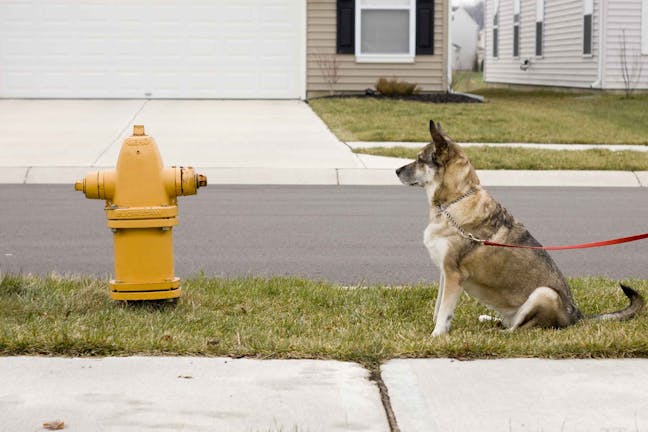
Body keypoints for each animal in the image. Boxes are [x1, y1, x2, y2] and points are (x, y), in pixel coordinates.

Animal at [394, 120, 644, 336]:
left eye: (419, 159)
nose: (396, 171)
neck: (454, 201)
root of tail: (577, 316)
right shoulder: (445, 274)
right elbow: (439, 309)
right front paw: (438, 330)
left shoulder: (454, 275)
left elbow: (444, 311)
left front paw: (436, 336)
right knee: (510, 323)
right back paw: (488, 320)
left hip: (544, 293)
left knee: (519, 329)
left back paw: (496, 334)